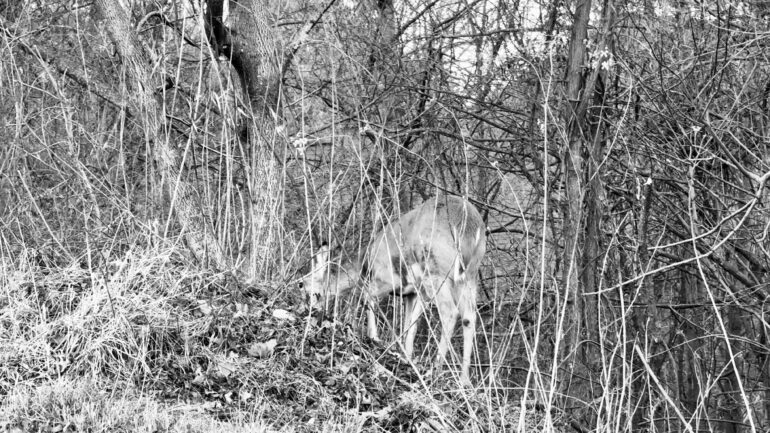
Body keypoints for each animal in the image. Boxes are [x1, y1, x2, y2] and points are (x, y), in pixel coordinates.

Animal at [301, 195, 486, 386]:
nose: (306, 310)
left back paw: (434, 371)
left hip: (436, 269)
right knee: (469, 316)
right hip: (469, 276)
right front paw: (406, 356)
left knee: (450, 312)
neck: (365, 265)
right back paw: (464, 380)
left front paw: (374, 338)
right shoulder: (414, 292)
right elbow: (410, 323)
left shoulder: (388, 279)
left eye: (302, 284)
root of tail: (470, 225)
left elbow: (368, 299)